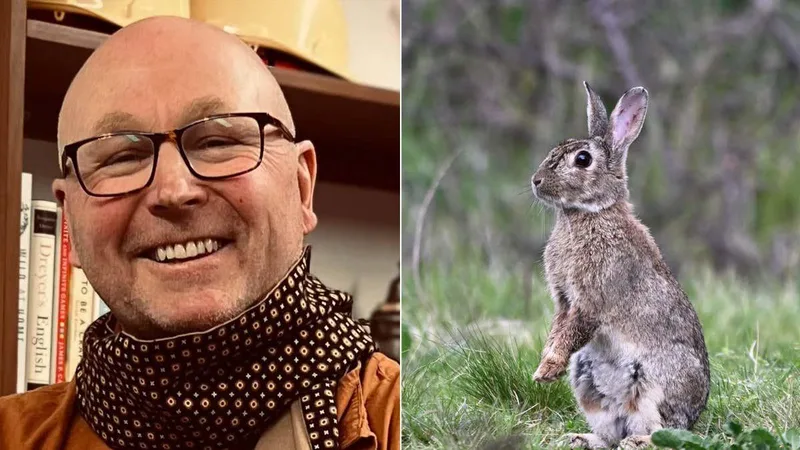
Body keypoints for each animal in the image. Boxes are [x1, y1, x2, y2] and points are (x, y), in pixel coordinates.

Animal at [529, 82, 710, 449]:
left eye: (583, 159)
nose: (536, 181)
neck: (591, 213)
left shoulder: (592, 300)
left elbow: (573, 330)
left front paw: (546, 371)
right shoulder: (564, 301)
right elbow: (557, 329)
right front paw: (544, 369)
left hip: (656, 385)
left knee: (663, 431)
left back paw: (636, 442)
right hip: (587, 380)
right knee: (609, 433)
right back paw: (580, 439)